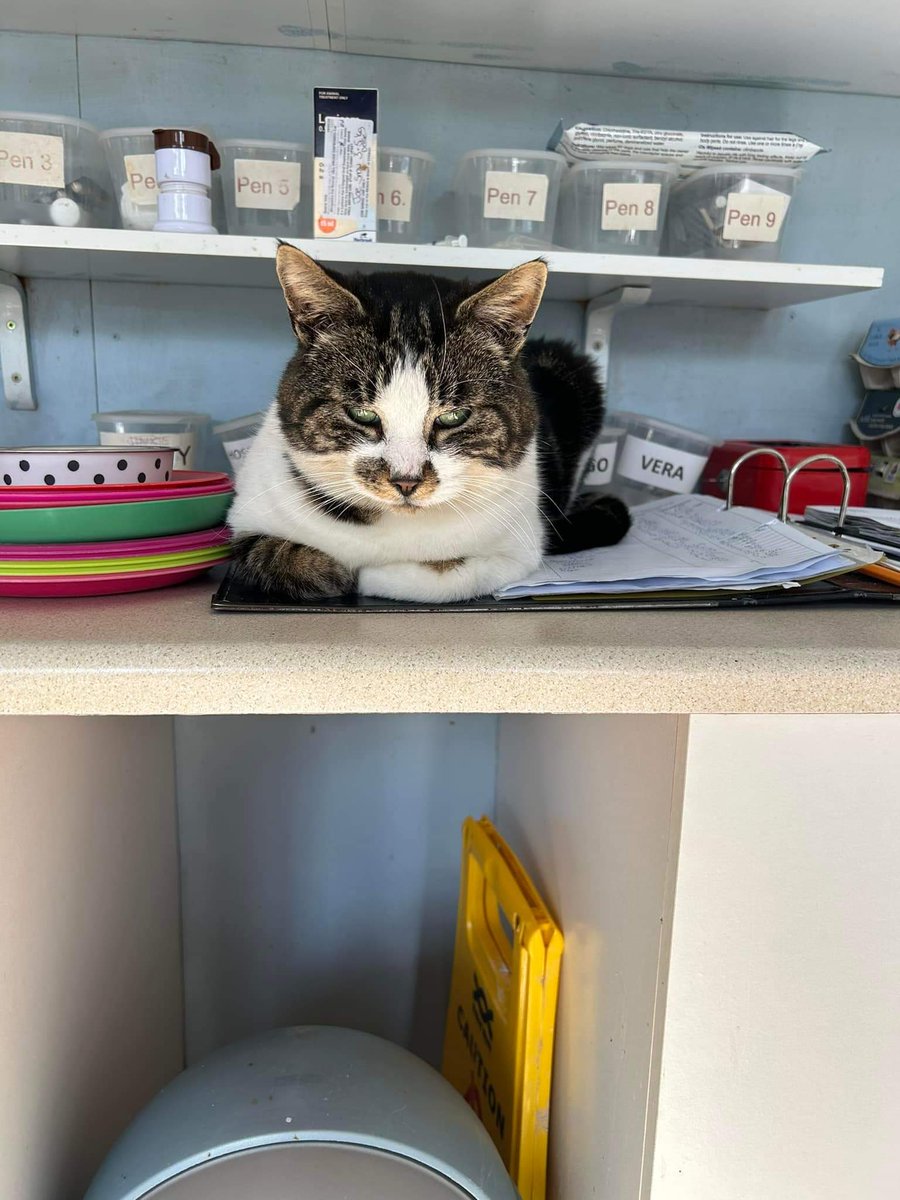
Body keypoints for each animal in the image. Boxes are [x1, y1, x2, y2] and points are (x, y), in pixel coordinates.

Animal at [229, 244, 628, 604]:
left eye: (453, 417)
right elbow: (267, 553)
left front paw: (372, 575)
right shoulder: (245, 517)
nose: (406, 480)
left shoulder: (520, 548)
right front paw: (334, 570)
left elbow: (444, 576)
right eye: (362, 414)